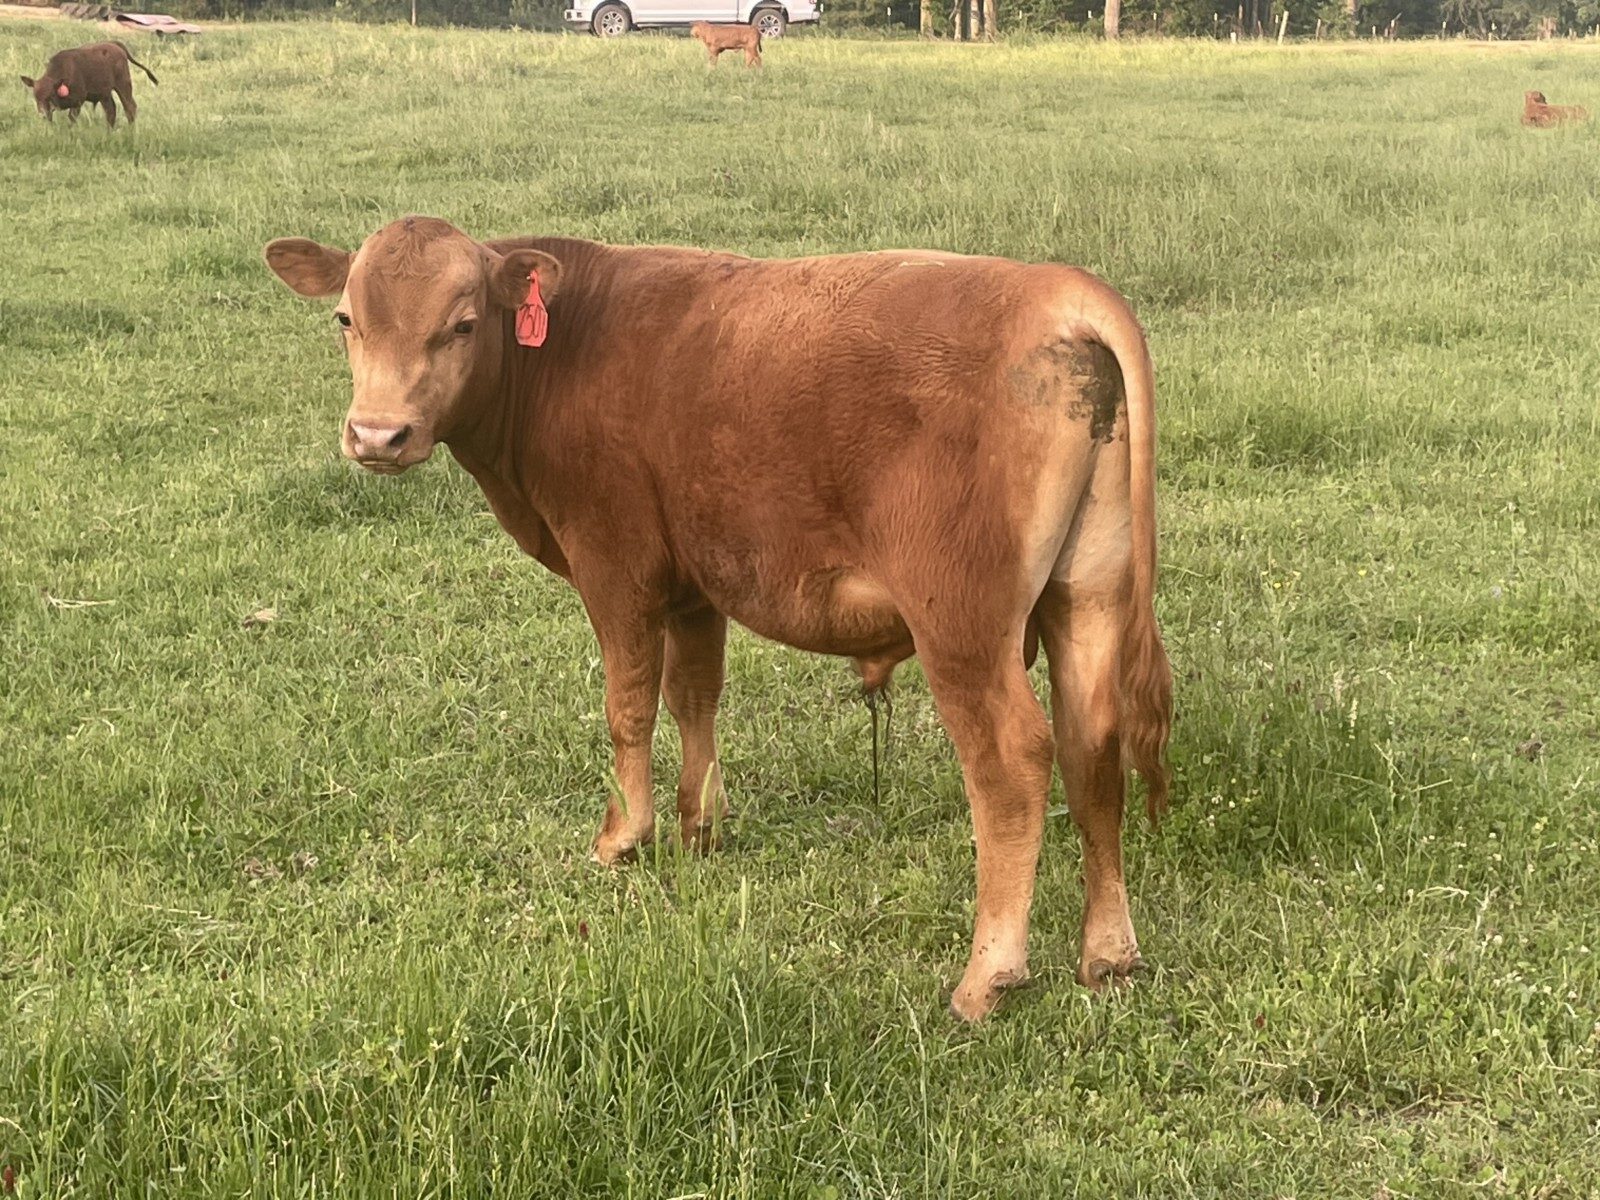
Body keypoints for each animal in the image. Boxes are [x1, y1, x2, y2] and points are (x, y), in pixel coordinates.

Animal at [20, 40, 157, 127]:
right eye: (36, 97)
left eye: (50, 95)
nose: (42, 113)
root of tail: (115, 45)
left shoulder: (78, 101)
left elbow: (71, 118)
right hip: (105, 94)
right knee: (111, 110)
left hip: (123, 85)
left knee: (129, 107)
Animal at [263, 216, 1172, 1022]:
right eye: (346, 319)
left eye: (462, 323)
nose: (377, 434)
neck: (566, 351)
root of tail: (1055, 291)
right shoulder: (696, 586)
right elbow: (693, 696)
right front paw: (700, 823)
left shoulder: (615, 566)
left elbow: (629, 704)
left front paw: (624, 837)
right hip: (1088, 595)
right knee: (1093, 752)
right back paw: (1108, 954)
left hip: (963, 627)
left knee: (1012, 765)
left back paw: (990, 975)